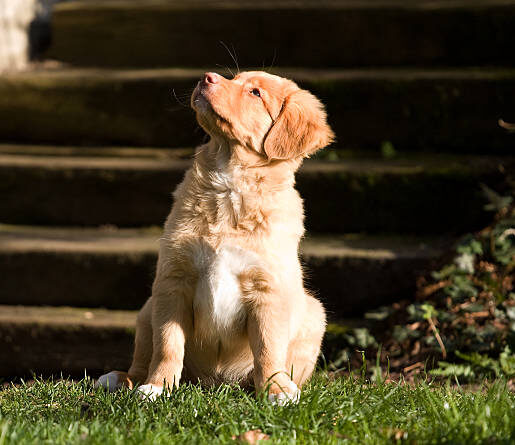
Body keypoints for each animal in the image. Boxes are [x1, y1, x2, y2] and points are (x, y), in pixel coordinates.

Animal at [97, 69, 334, 402]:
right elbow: (167, 344)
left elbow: (268, 348)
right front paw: (158, 386)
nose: (206, 77)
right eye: (235, 78)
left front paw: (275, 389)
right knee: (143, 357)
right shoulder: (174, 280)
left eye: (256, 93)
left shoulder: (268, 289)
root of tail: (215, 383)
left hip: (314, 314)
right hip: (146, 310)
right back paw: (121, 378)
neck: (230, 181)